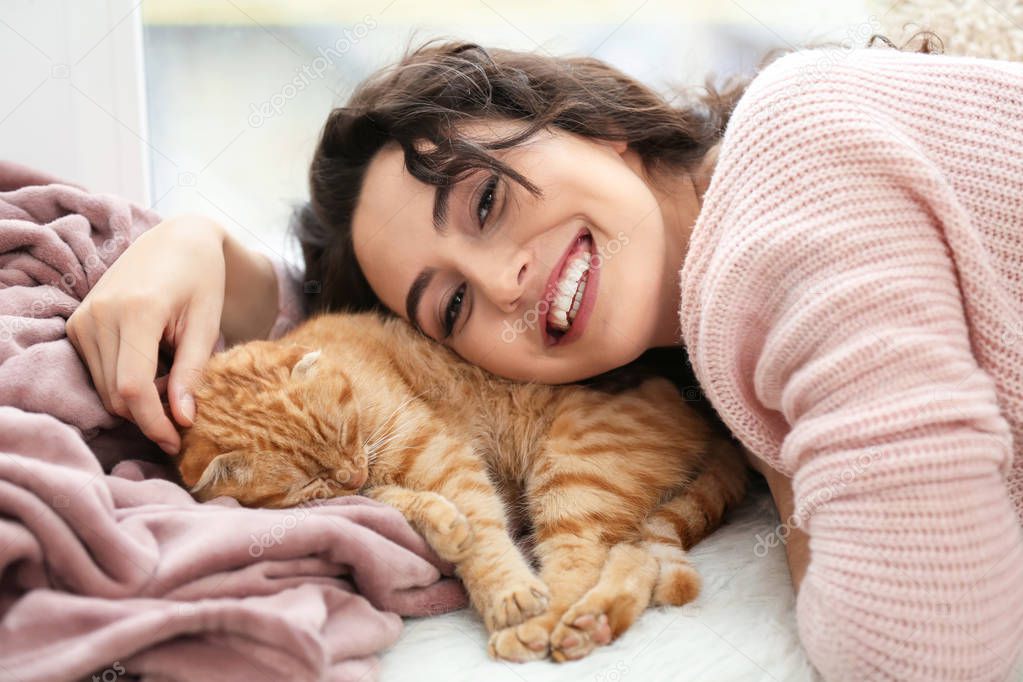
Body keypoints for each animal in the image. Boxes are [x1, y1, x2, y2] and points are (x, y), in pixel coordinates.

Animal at [175, 312, 748, 662]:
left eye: (343, 432)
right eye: (311, 482)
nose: (351, 473)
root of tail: (705, 421)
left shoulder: (442, 456)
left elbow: (484, 534)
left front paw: (506, 594)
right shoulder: (365, 490)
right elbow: (395, 502)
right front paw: (439, 522)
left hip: (572, 474)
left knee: (578, 561)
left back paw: (540, 624)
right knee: (635, 557)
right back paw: (592, 623)